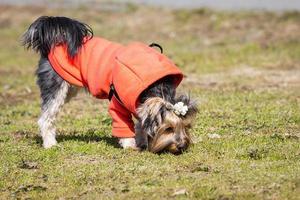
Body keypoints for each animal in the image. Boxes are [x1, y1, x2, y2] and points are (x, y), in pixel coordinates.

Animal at [22, 16, 198, 154]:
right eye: (168, 128)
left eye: (186, 127)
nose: (182, 146)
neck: (156, 86)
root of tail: (52, 42)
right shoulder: (118, 104)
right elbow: (123, 125)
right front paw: (130, 145)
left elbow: (141, 124)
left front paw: (141, 141)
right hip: (55, 86)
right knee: (46, 117)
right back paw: (50, 144)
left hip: (70, 88)